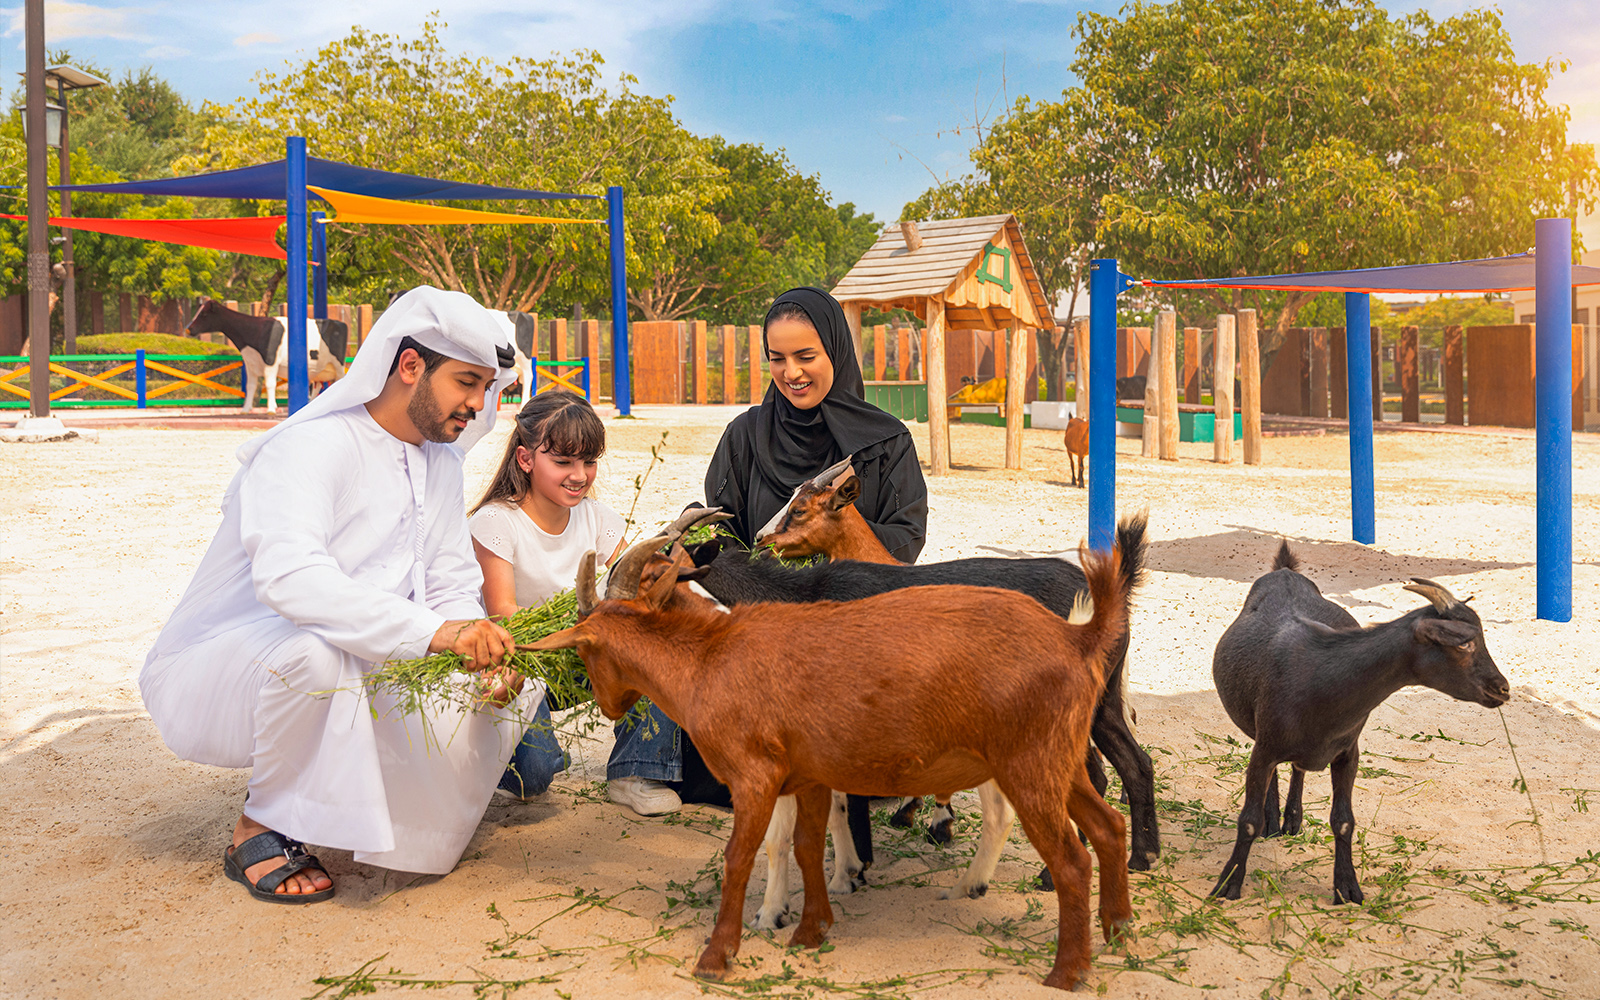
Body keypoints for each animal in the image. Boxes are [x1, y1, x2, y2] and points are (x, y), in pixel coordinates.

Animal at [527, 516, 1142, 990]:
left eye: (587, 650)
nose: (610, 707)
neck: (709, 658)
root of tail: (1079, 637)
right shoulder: (807, 775)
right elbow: (803, 846)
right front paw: (808, 925)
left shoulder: (754, 776)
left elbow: (742, 857)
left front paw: (719, 955)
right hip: (1056, 761)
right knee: (1108, 825)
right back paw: (1117, 931)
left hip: (1028, 766)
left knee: (1068, 855)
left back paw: (1066, 969)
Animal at [755, 461, 1161, 876]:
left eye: (799, 509)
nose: (759, 539)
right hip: (1103, 697)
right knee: (1134, 762)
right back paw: (1142, 856)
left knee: (1091, 774)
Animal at [1209, 541, 1511, 903]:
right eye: (1465, 643)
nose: (1502, 688)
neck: (1322, 678)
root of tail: (1284, 571)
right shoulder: (1265, 750)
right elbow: (1249, 820)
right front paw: (1228, 883)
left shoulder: (1347, 753)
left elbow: (1343, 821)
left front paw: (1347, 887)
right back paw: (1274, 820)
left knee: (1298, 768)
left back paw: (1292, 820)